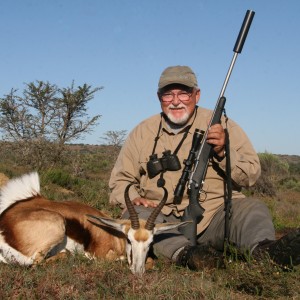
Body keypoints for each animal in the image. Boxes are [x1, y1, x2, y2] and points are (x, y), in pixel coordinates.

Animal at [0, 172, 186, 276]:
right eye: (129, 239)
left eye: (151, 242)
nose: (138, 272)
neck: (114, 236)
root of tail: (5, 221)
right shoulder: (102, 255)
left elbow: (151, 261)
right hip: (56, 228)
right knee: (37, 264)